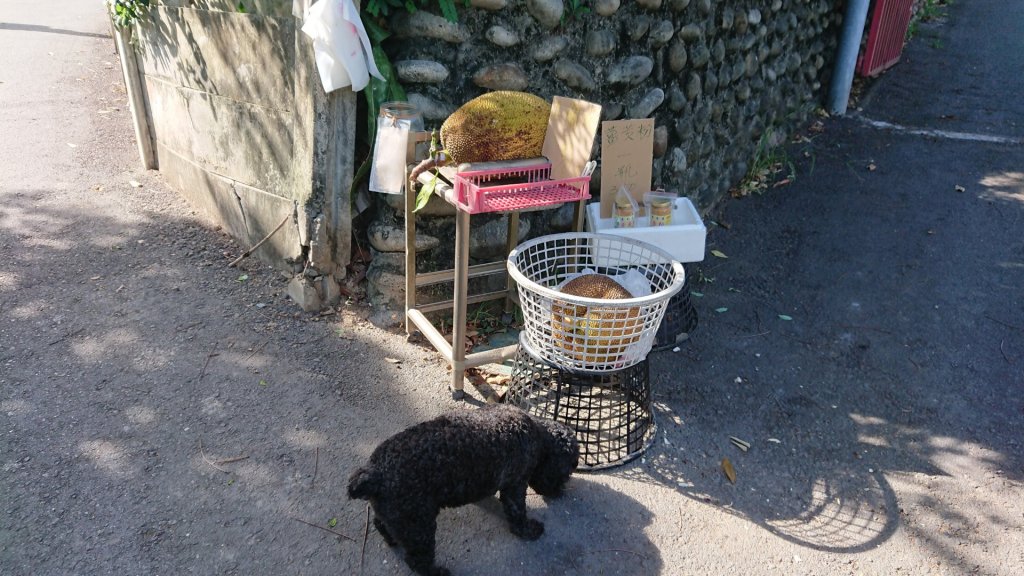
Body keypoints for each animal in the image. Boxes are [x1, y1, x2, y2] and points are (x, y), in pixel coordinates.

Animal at [348, 403, 581, 573]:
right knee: (417, 561)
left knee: (381, 524)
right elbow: (518, 514)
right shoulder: (515, 485)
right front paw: (528, 530)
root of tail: (374, 472)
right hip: (418, 527)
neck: (537, 434)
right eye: (567, 472)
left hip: (399, 517)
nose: (560, 492)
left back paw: (391, 540)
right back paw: (437, 572)